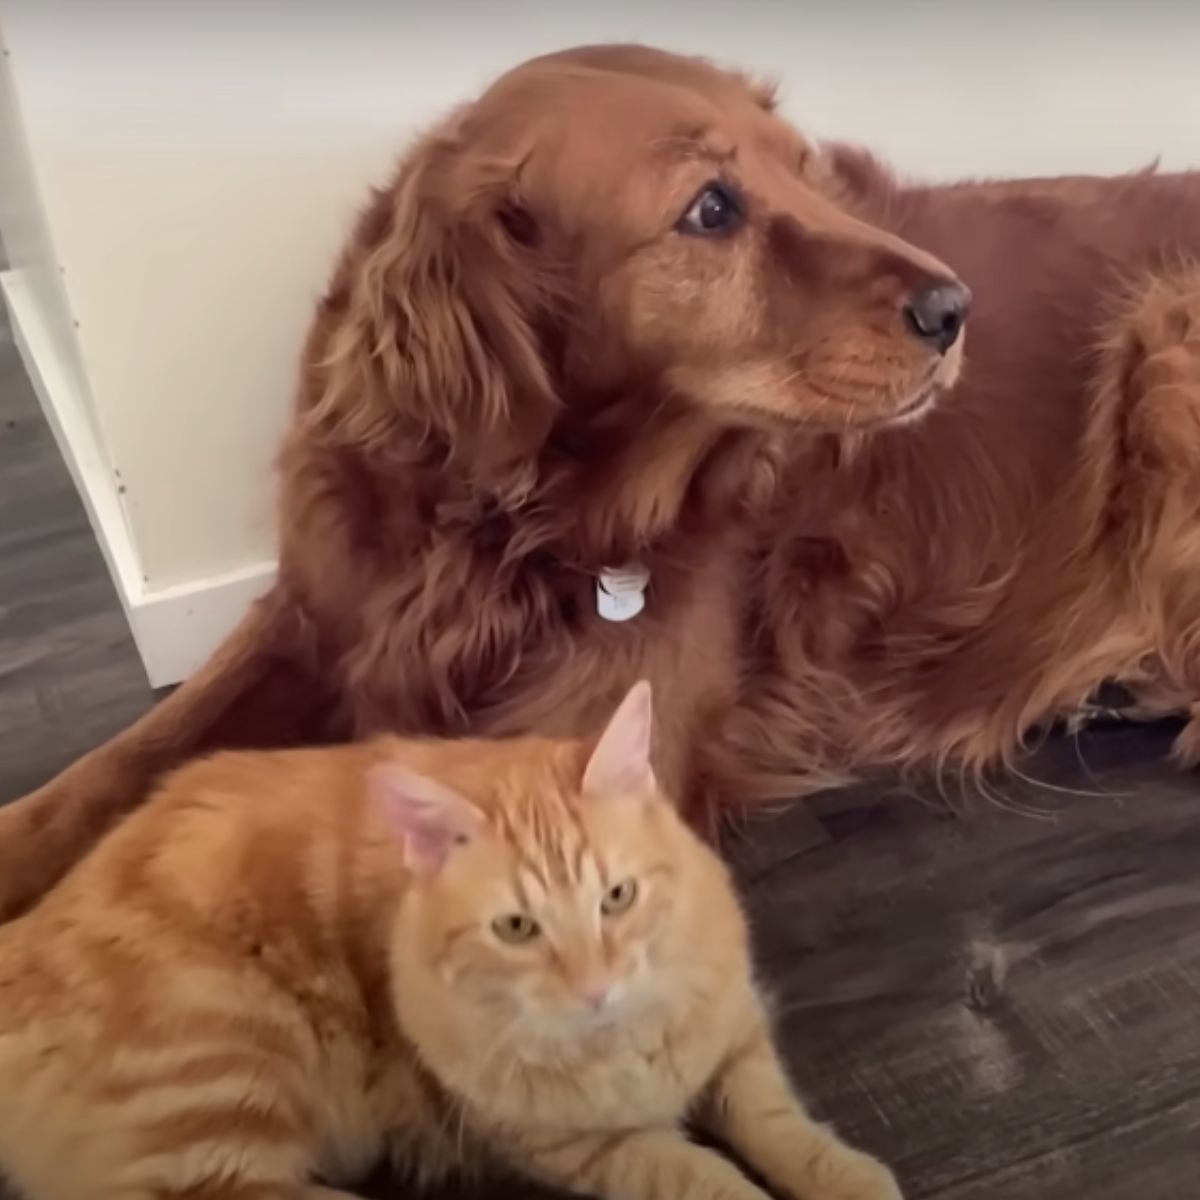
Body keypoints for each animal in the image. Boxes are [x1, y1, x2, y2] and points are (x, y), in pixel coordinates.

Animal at [0, 686, 902, 1200]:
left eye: (617, 898)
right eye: (518, 928)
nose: (594, 987)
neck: (619, 1048)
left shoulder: (733, 1040)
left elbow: (782, 1125)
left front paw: (848, 1177)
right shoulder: (578, 1146)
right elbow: (706, 1177)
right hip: (226, 1069)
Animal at [2, 42, 1200, 912]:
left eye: (802, 169)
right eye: (711, 208)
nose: (956, 310)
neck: (507, 524)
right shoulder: (323, 608)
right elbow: (127, 760)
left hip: (1163, 327)